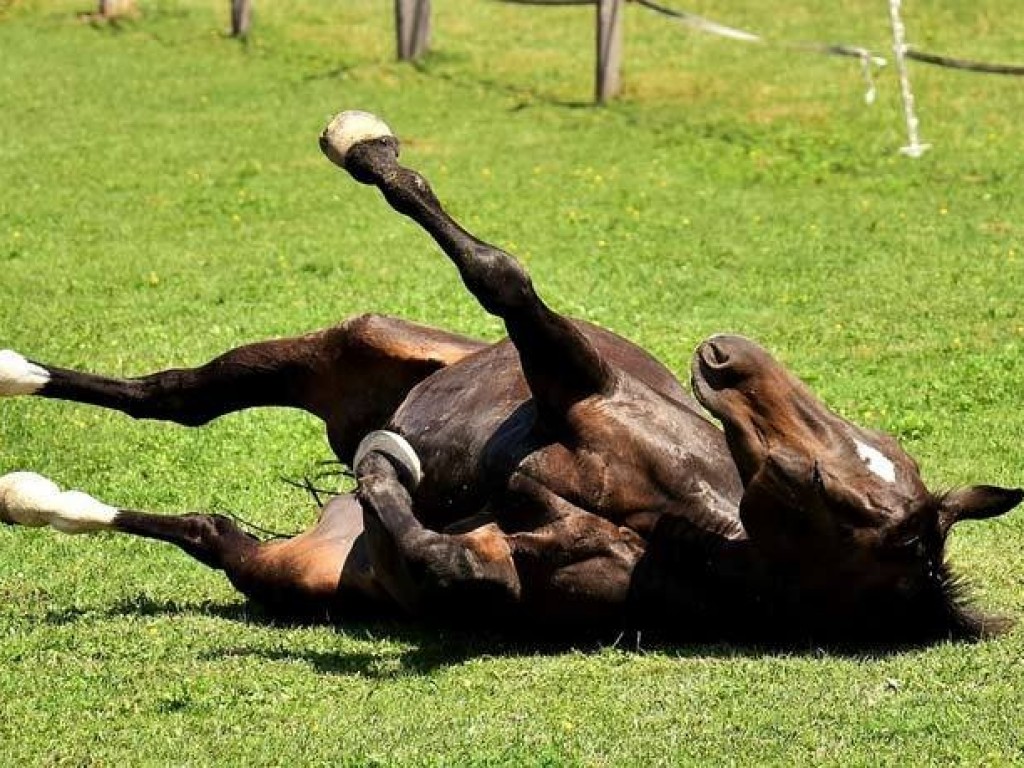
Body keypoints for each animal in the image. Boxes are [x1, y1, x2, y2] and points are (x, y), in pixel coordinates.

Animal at [0, 111, 1019, 647]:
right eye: (868, 443)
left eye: (815, 485)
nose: (730, 354)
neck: (680, 519)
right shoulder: (573, 377)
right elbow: (500, 273)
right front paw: (369, 149)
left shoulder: (516, 561)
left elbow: (454, 561)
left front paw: (395, 471)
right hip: (351, 344)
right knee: (177, 396)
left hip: (287, 566)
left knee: (205, 516)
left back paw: (31, 493)